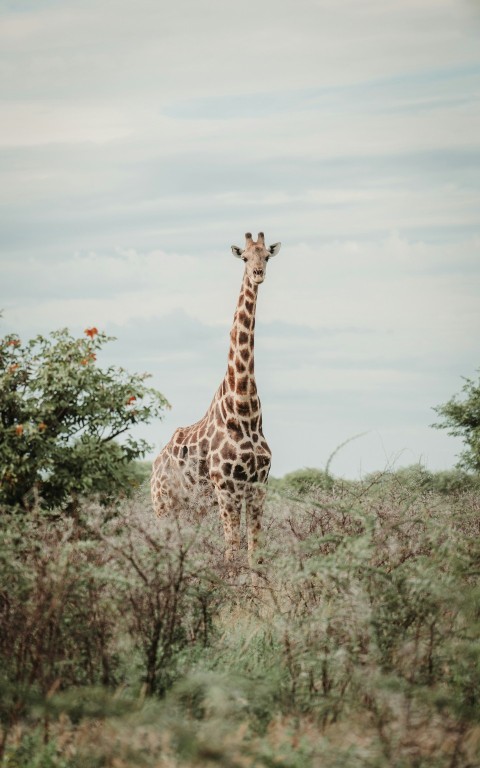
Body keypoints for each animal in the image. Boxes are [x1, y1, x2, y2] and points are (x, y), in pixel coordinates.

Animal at [151, 232, 281, 576]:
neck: (245, 409)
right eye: (244, 257)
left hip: (193, 508)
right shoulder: (226, 488)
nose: (258, 274)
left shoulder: (258, 487)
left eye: (267, 256)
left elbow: (254, 554)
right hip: (163, 506)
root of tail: (154, 465)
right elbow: (232, 554)